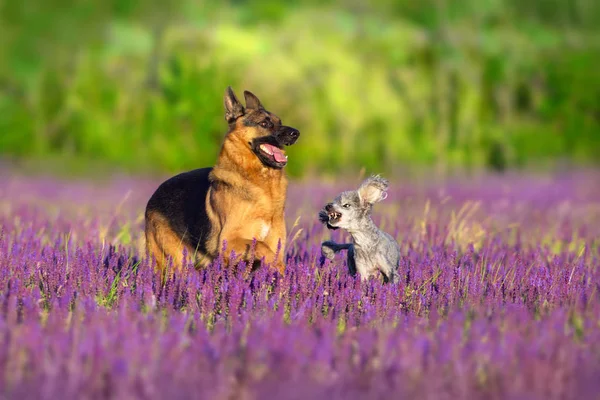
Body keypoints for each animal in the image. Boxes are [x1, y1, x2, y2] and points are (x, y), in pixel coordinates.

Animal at [145, 87, 300, 276]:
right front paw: (279, 267)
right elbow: (263, 247)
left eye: (280, 121)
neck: (261, 183)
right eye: (264, 123)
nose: (296, 133)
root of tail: (155, 194)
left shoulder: (273, 242)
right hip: (178, 259)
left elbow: (269, 252)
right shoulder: (230, 240)